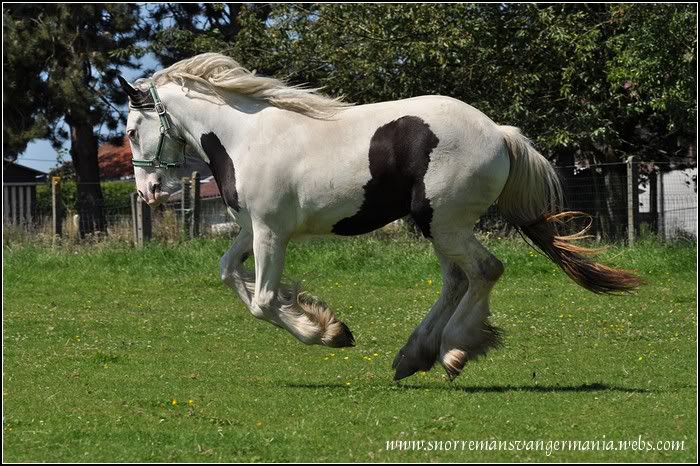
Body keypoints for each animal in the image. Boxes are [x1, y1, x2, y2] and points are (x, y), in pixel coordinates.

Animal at [117, 53, 644, 382]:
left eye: (130, 129)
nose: (148, 192)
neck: (246, 138)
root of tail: (498, 131)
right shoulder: (251, 230)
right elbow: (230, 273)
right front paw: (321, 317)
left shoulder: (270, 233)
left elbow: (262, 302)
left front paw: (325, 332)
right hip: (438, 227)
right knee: (457, 279)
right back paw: (414, 355)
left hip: (444, 223)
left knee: (484, 270)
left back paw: (453, 351)